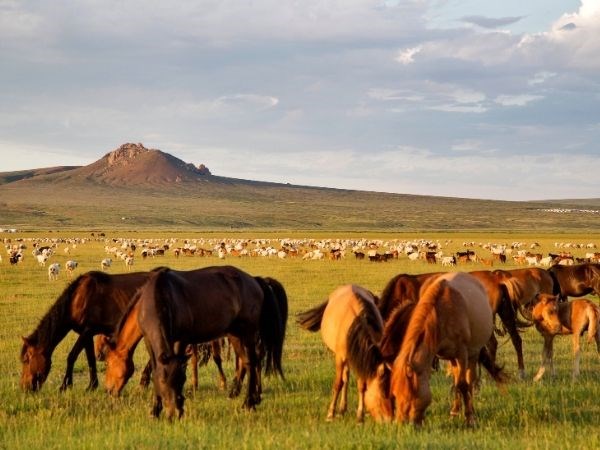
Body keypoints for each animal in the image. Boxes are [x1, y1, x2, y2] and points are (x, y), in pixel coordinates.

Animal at [20, 270, 154, 390]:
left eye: (26, 359)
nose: (25, 388)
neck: (77, 299)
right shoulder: (87, 334)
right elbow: (91, 359)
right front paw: (92, 385)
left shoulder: (87, 331)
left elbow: (71, 356)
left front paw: (65, 385)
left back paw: (144, 382)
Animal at [137, 268, 288, 418]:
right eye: (162, 381)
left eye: (182, 379)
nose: (175, 412)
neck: (161, 296)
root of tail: (254, 279)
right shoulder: (149, 341)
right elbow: (156, 368)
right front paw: (155, 410)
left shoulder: (181, 340)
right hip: (235, 335)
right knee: (246, 362)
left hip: (248, 334)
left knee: (252, 362)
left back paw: (248, 402)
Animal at [296, 284, 384, 422]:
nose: (387, 419)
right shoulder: (340, 357)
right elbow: (338, 383)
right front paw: (330, 413)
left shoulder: (361, 360)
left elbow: (361, 385)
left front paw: (360, 415)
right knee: (344, 379)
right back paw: (341, 409)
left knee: (346, 378)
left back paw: (343, 408)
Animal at [366, 272, 506, 428]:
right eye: (394, 393)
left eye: (410, 396)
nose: (401, 423)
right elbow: (456, 383)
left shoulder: (462, 353)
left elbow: (463, 385)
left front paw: (470, 419)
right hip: (452, 358)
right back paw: (455, 411)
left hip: (472, 353)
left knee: (469, 380)